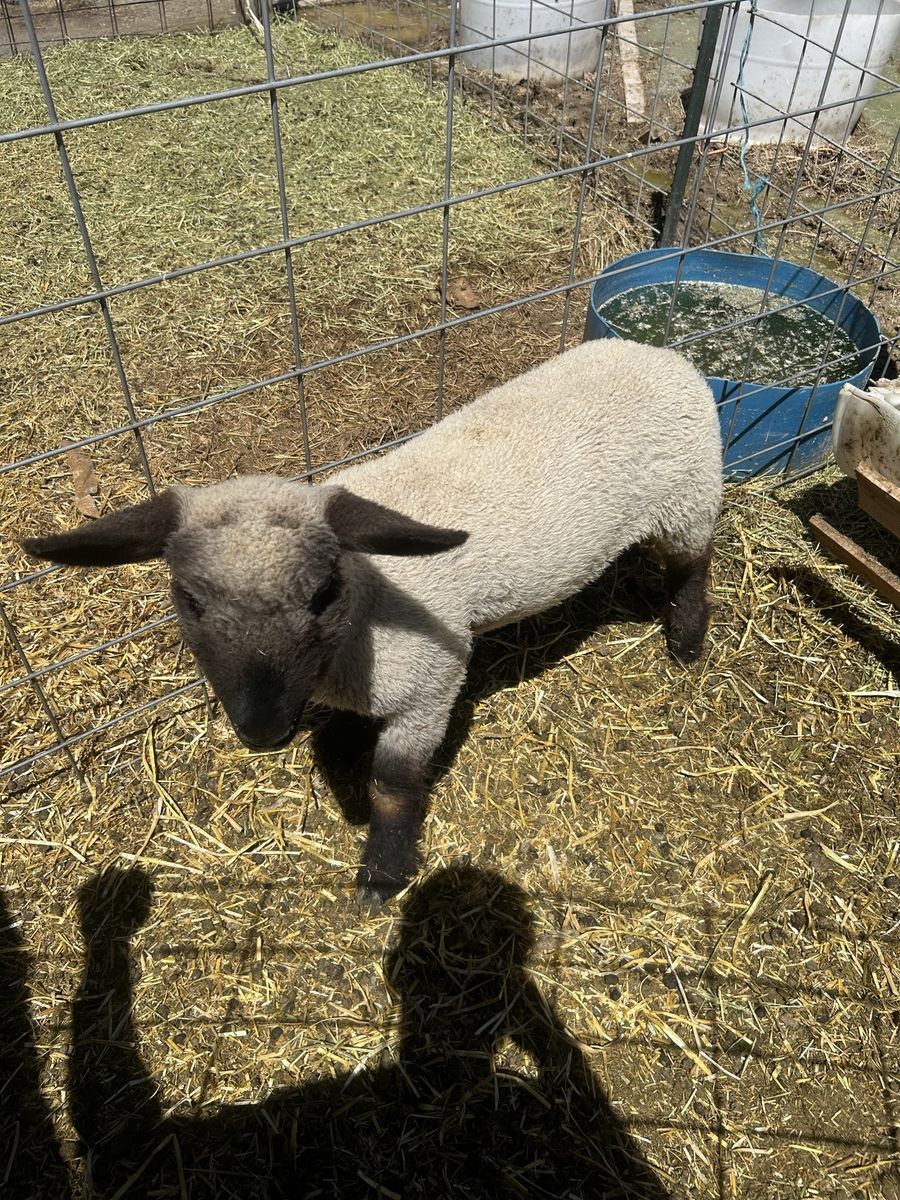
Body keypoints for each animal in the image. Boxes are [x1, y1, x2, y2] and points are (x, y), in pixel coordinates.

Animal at [23, 338, 723, 901]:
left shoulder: (430, 685)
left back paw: (686, 645)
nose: (262, 730)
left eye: (322, 593)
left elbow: (392, 785)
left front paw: (383, 874)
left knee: (692, 572)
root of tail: (657, 352)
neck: (364, 612)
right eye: (189, 601)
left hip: (689, 501)